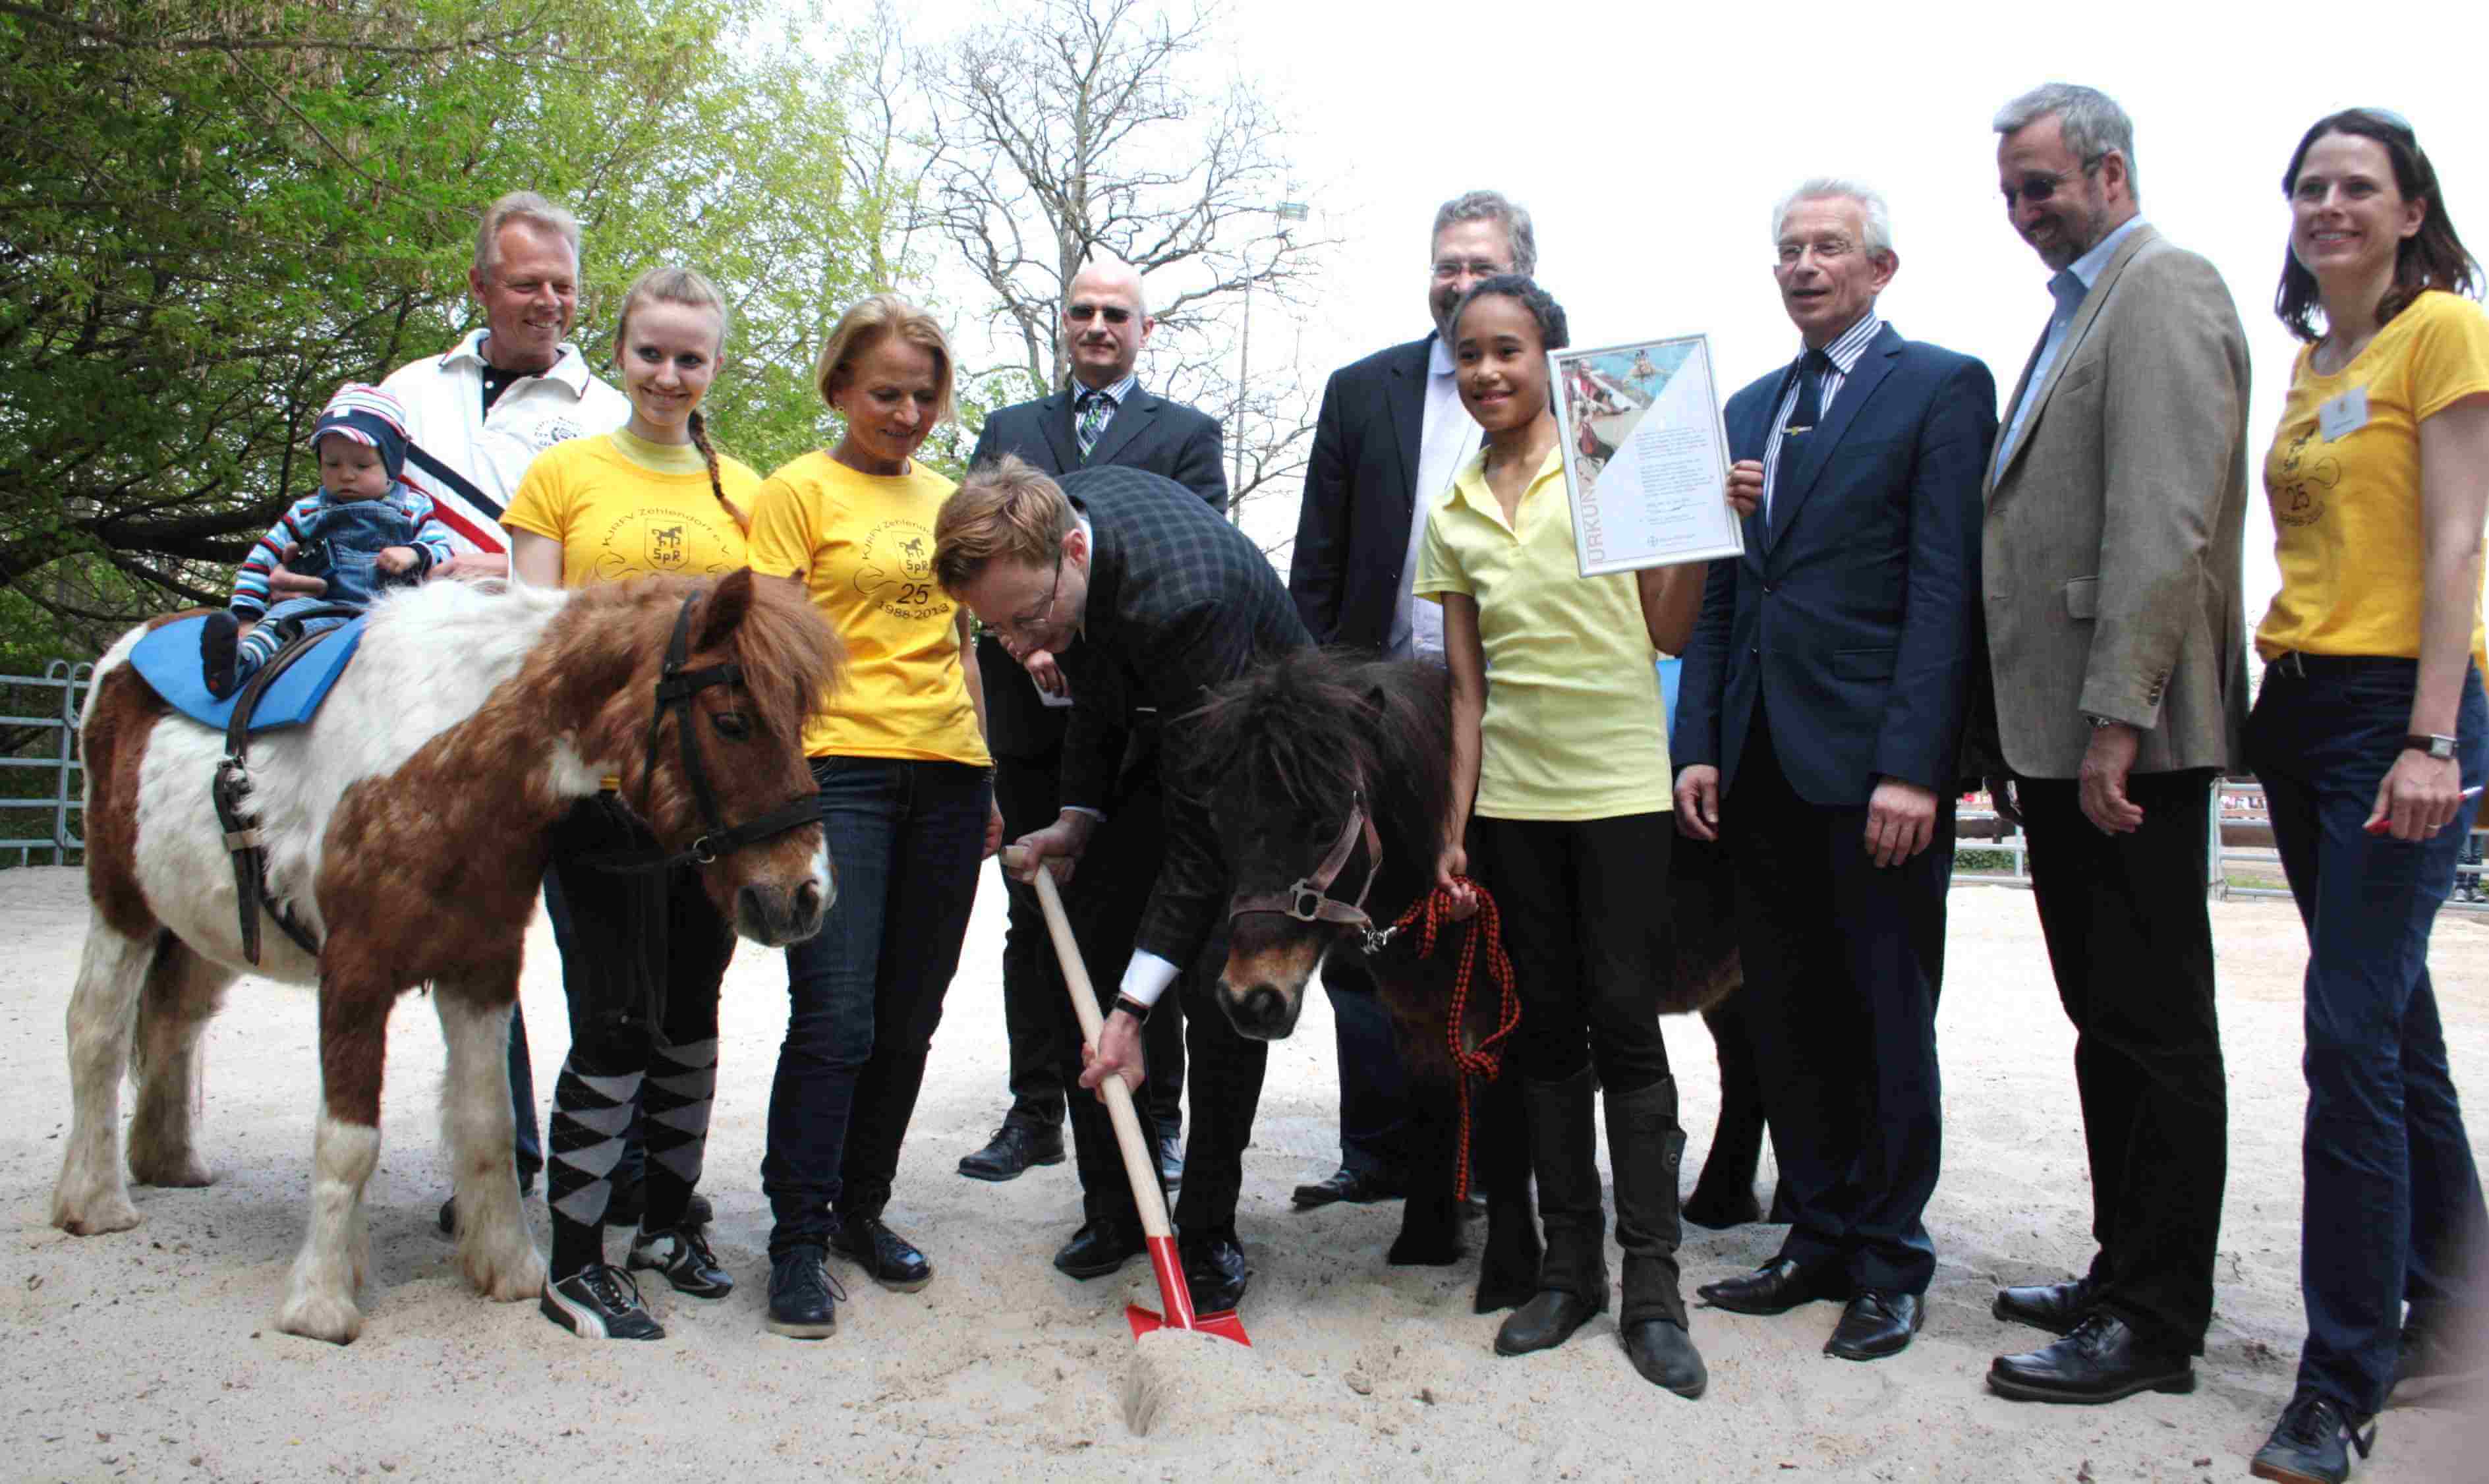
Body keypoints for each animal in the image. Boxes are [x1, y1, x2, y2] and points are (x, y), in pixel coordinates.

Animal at [48, 567, 841, 1344]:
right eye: (733, 721)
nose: (806, 894)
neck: (436, 766)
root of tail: (131, 651)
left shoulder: (481, 969)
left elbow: (488, 1121)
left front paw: (509, 1268)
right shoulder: (355, 974)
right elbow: (349, 1139)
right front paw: (321, 1301)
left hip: (198, 925)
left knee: (175, 1024)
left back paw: (169, 1161)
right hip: (122, 905)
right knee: (96, 1031)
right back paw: (94, 1201)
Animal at [1189, 647, 1762, 1315]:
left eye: (1324, 822)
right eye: (1219, 819)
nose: (1248, 1000)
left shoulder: (1512, 1018)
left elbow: (1506, 1132)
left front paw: (1510, 1277)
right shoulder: (1419, 1016)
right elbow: (1434, 1113)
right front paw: (1425, 1242)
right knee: (1744, 1069)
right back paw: (1718, 1203)